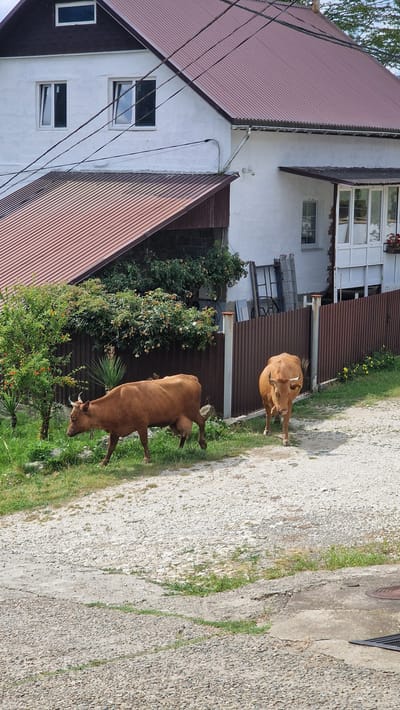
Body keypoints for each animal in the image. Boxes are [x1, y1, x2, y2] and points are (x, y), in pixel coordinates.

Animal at [67, 374, 208, 465]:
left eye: (74, 418)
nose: (68, 433)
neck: (118, 402)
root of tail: (190, 377)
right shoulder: (115, 430)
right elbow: (111, 447)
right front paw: (104, 462)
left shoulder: (141, 424)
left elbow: (144, 441)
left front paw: (147, 458)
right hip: (176, 419)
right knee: (183, 433)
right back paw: (180, 448)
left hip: (192, 411)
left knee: (202, 422)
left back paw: (202, 443)